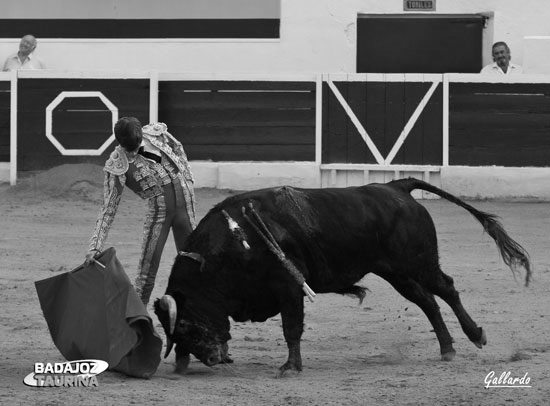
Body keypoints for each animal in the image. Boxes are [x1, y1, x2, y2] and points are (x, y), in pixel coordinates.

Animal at [153, 179, 532, 376]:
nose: (212, 359)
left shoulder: (289, 288)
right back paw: (447, 349)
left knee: (447, 289)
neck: (236, 239)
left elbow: (292, 327)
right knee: (427, 302)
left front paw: (290, 367)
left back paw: (475, 335)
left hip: (418, 262)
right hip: (396, 272)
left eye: (186, 327)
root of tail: (398, 187)